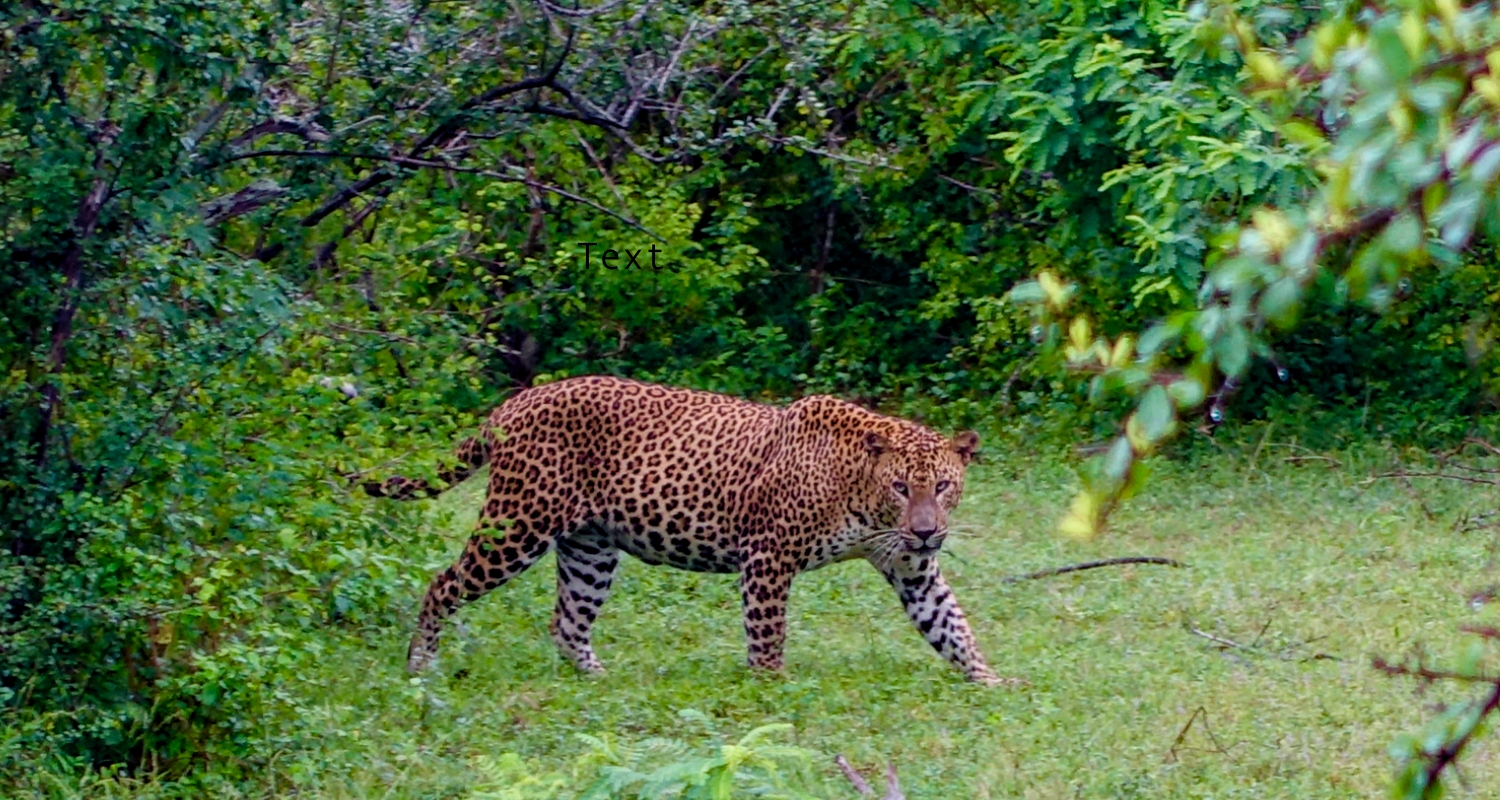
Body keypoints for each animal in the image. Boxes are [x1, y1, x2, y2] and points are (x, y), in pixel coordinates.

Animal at [360, 372, 1008, 681]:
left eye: (942, 487)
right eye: (901, 488)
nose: (926, 532)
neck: (859, 493)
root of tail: (511, 404)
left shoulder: (913, 571)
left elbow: (950, 625)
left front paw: (991, 680)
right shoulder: (768, 556)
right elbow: (767, 632)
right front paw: (772, 689)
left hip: (590, 548)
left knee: (567, 621)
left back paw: (600, 679)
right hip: (518, 525)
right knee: (443, 583)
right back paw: (420, 665)